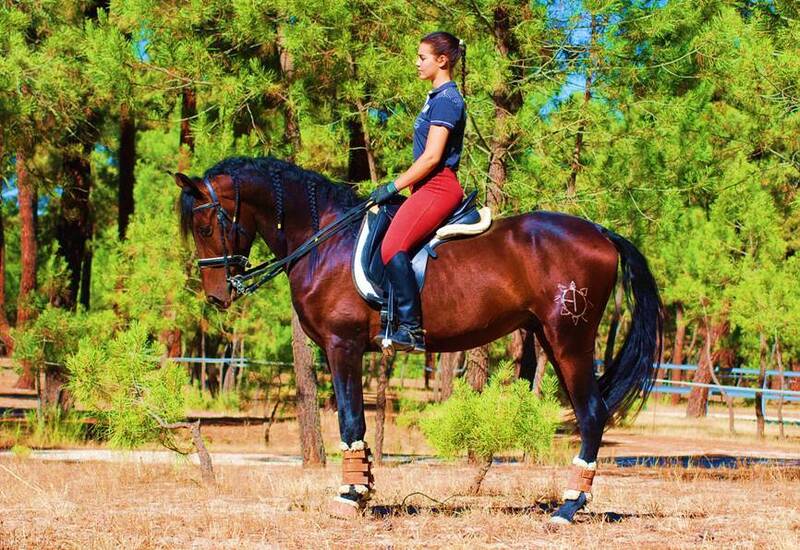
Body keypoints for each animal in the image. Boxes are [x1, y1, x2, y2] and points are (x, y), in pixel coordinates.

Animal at [174, 156, 663, 524]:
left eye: (205, 228)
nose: (217, 295)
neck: (323, 241)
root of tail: (601, 233)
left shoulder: (342, 345)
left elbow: (350, 420)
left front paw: (350, 495)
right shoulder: (343, 351)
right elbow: (357, 422)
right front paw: (364, 488)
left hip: (570, 338)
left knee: (593, 413)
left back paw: (569, 506)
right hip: (550, 337)